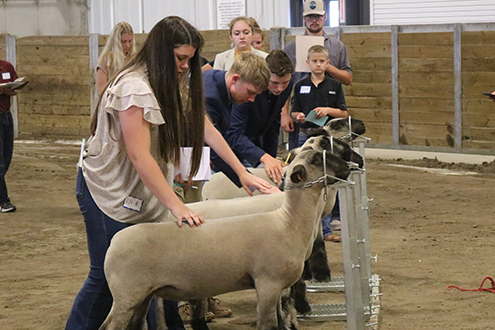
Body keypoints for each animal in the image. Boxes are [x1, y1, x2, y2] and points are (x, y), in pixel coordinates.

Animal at [99, 150, 350, 330]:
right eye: (317, 158)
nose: (349, 166)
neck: (287, 223)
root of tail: (113, 242)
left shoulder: (278, 287)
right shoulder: (268, 284)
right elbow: (269, 325)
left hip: (143, 295)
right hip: (126, 295)